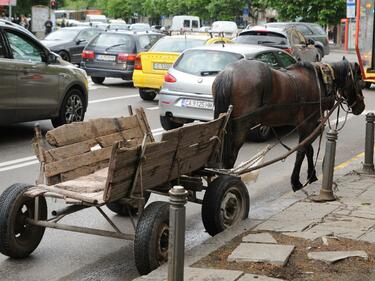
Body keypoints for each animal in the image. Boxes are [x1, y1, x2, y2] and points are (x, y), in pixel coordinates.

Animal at [213, 58, 366, 190]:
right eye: (359, 79)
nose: (362, 107)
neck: (322, 81)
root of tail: (229, 72)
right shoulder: (309, 124)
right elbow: (302, 151)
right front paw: (296, 181)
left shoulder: (306, 125)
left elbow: (308, 150)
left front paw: (311, 176)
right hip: (241, 127)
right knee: (231, 156)